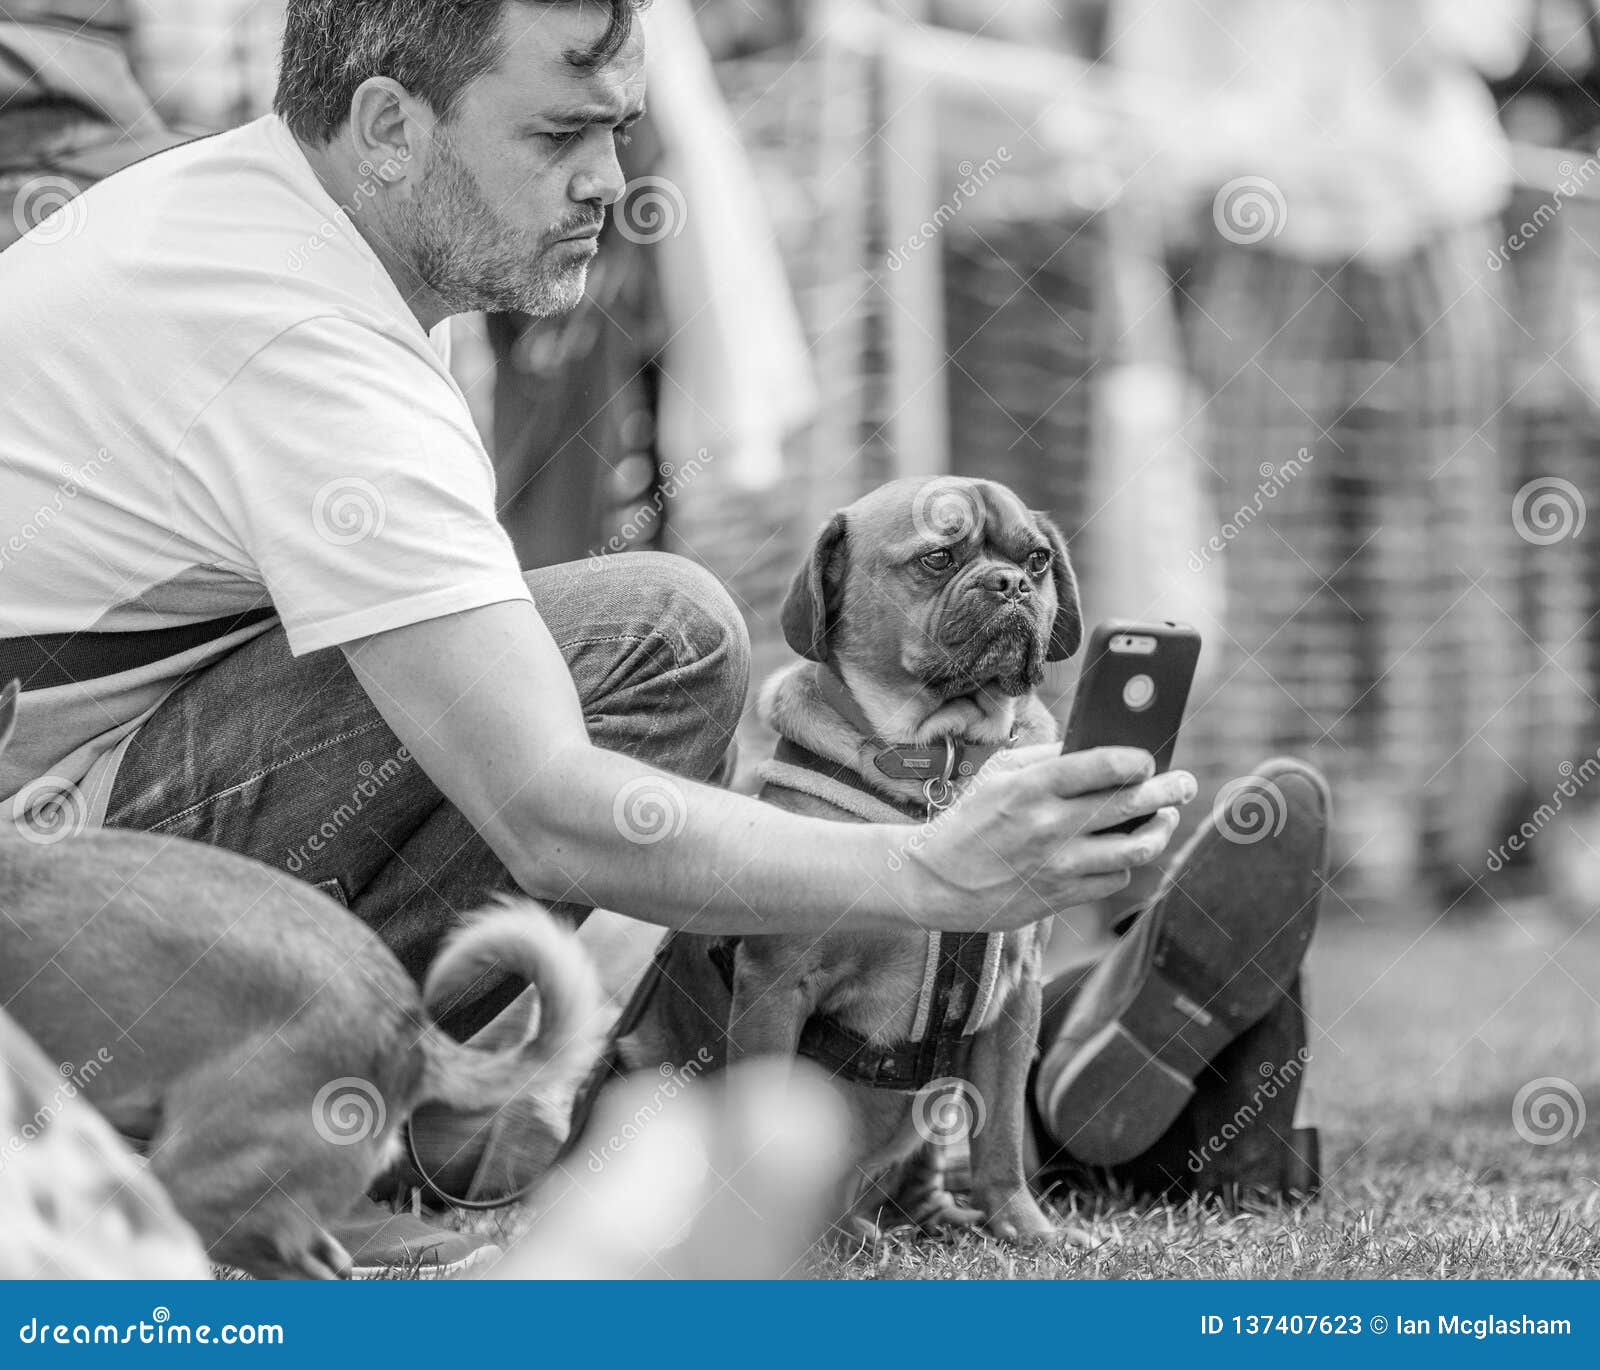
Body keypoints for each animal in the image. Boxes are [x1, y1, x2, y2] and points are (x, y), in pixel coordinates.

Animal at [617, 476, 1081, 1248]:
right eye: (937, 557)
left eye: (1038, 559)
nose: (1011, 583)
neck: (939, 761)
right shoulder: (776, 986)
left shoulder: (1018, 995)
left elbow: (1002, 1140)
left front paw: (1025, 1226)